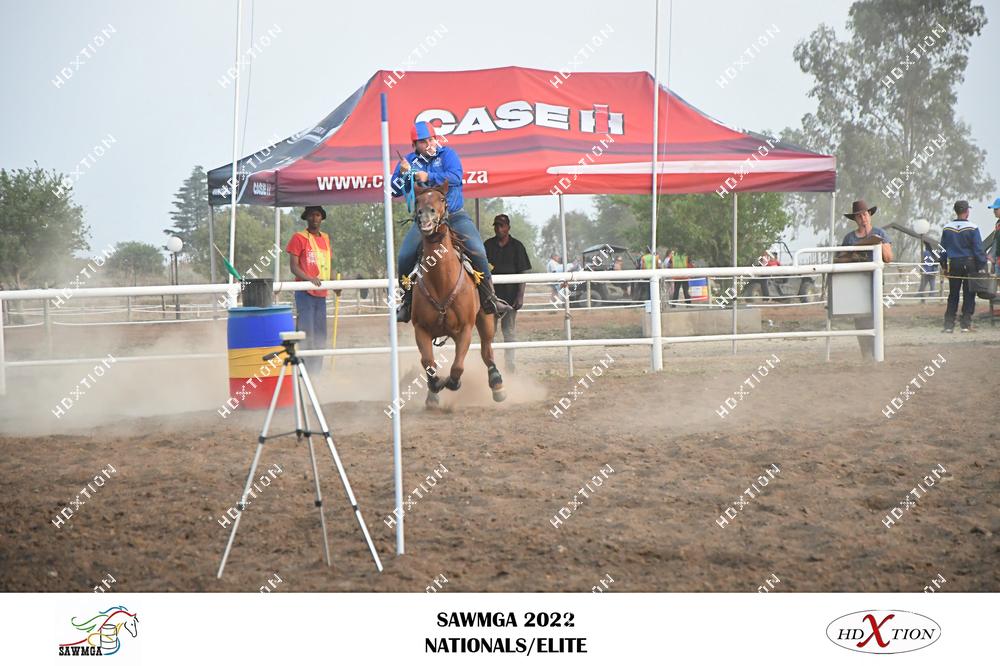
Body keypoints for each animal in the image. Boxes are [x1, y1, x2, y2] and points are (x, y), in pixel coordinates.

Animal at [408, 182, 505, 407]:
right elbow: (428, 362)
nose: (425, 215)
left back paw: (497, 384)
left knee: (487, 351)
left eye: (442, 199)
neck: (441, 283)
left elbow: (458, 366)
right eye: (417, 200)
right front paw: (435, 387)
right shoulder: (421, 329)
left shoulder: (465, 329)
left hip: (486, 318)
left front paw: (452, 383)